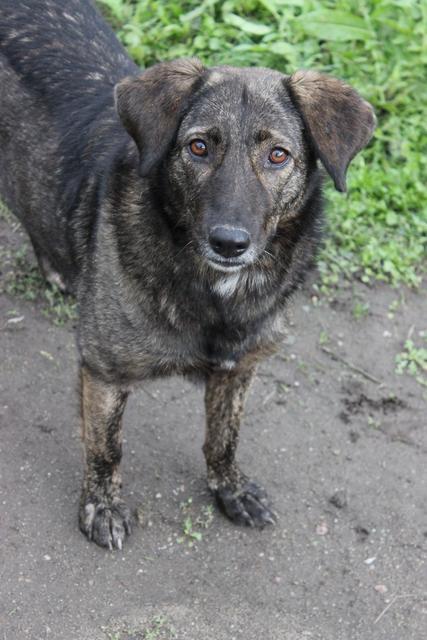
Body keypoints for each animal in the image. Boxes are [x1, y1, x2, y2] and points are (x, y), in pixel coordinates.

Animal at [0, 0, 374, 552]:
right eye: (199, 147)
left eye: (278, 155)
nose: (229, 242)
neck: (214, 291)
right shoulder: (104, 372)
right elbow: (105, 448)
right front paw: (102, 507)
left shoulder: (239, 369)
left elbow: (224, 437)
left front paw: (231, 489)